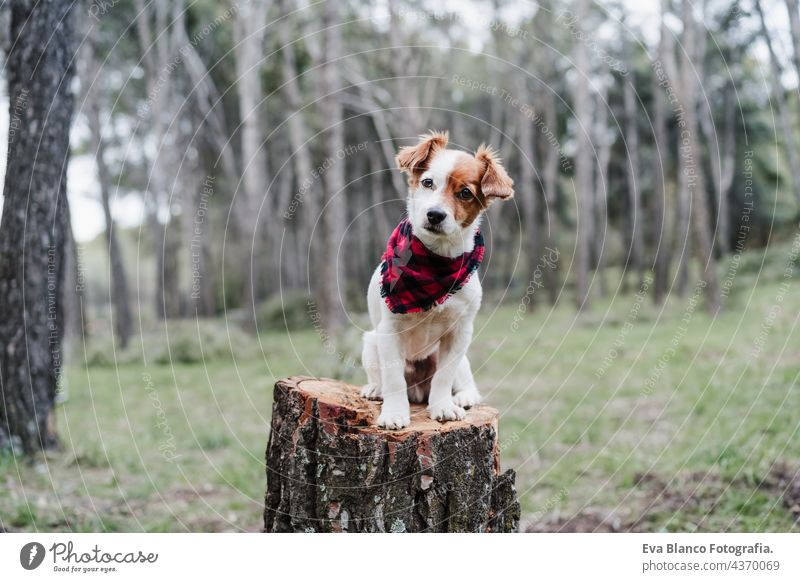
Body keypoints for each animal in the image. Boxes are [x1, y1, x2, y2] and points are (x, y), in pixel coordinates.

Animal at [360, 133, 512, 434]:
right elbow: (394, 378)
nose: (435, 214)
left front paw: (442, 407)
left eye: (465, 193)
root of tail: (418, 391)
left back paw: (463, 397)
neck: (434, 262)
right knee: (383, 377)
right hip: (370, 342)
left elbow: (444, 376)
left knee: (463, 382)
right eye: (428, 182)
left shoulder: (460, 332)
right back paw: (376, 390)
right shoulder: (389, 330)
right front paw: (394, 413)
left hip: (462, 359)